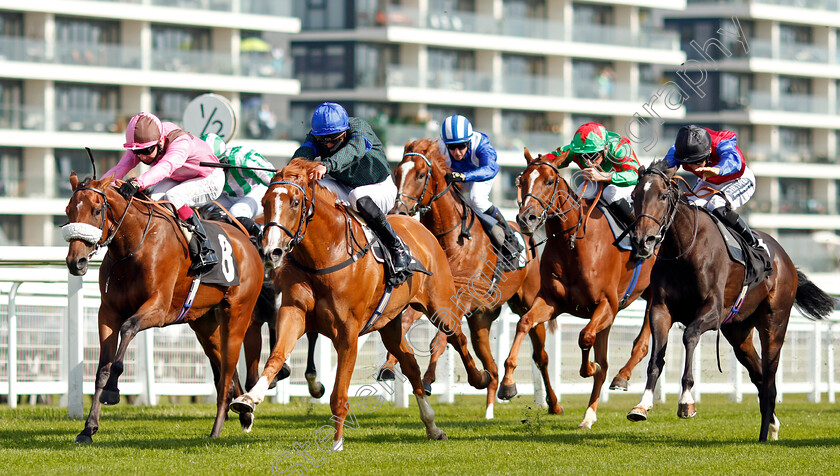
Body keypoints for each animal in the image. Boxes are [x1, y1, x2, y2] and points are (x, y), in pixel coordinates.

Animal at [64, 173, 264, 440]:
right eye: (68, 211)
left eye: (97, 210)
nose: (75, 262)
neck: (134, 244)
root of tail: (247, 240)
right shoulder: (107, 312)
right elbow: (102, 369)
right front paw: (88, 428)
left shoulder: (159, 307)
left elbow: (128, 328)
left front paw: (112, 391)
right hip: (205, 326)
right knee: (225, 371)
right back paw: (244, 411)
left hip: (237, 315)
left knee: (226, 375)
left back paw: (217, 430)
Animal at [230, 158, 492, 448]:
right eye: (265, 202)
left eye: (295, 202)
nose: (271, 252)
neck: (324, 255)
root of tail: (421, 228)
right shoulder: (294, 313)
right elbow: (276, 356)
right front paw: (248, 399)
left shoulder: (348, 333)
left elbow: (339, 393)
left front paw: (336, 442)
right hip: (390, 322)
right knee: (410, 362)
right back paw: (432, 426)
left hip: (439, 305)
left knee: (457, 336)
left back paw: (480, 378)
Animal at [390, 137, 556, 416]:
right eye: (396, 174)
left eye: (421, 174)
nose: (399, 211)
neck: (452, 240)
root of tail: (532, 240)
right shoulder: (430, 295)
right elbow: (406, 324)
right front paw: (389, 366)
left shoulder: (461, 297)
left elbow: (442, 338)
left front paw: (428, 379)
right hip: (482, 319)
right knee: (492, 365)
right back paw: (493, 403)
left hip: (528, 303)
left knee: (541, 356)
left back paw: (552, 403)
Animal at [502, 148, 660, 428]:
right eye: (521, 181)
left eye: (549, 181)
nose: (525, 218)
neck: (574, 243)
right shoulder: (552, 302)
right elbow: (524, 322)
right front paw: (508, 384)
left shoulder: (607, 304)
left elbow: (585, 337)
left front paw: (588, 368)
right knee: (606, 359)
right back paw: (589, 415)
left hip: (652, 296)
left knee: (640, 344)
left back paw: (623, 377)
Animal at [624, 161, 832, 442]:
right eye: (634, 195)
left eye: (663, 196)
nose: (641, 241)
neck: (684, 250)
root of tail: (787, 261)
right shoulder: (660, 310)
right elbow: (656, 357)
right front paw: (642, 405)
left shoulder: (712, 312)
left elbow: (689, 335)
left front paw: (686, 401)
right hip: (738, 332)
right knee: (759, 376)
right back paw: (771, 426)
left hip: (774, 325)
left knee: (769, 378)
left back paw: (765, 436)